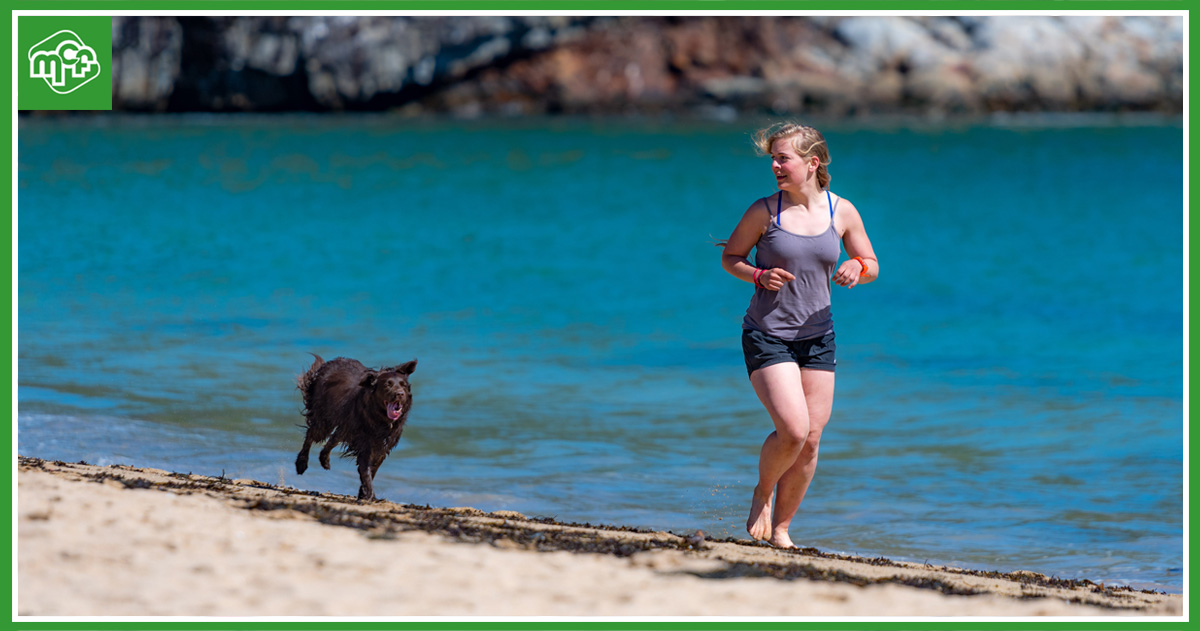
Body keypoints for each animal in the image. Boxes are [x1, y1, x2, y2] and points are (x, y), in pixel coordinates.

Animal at [295, 355, 417, 499]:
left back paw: (324, 459)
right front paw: (369, 493)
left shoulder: (382, 447)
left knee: (333, 438)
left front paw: (364, 493)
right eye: (388, 384)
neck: (380, 419)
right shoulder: (365, 444)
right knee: (311, 435)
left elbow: (373, 470)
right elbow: (366, 471)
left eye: (404, 385)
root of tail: (331, 362)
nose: (400, 394)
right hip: (324, 419)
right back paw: (301, 463)